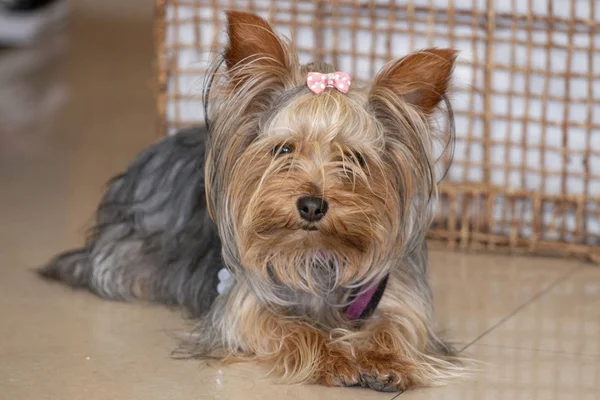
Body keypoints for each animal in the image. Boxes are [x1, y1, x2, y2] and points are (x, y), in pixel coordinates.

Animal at [39, 10, 468, 392]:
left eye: (354, 159)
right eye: (283, 149)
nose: (311, 205)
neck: (315, 254)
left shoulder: (395, 294)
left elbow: (397, 326)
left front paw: (384, 362)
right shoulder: (243, 304)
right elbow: (289, 328)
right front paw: (335, 359)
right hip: (126, 260)